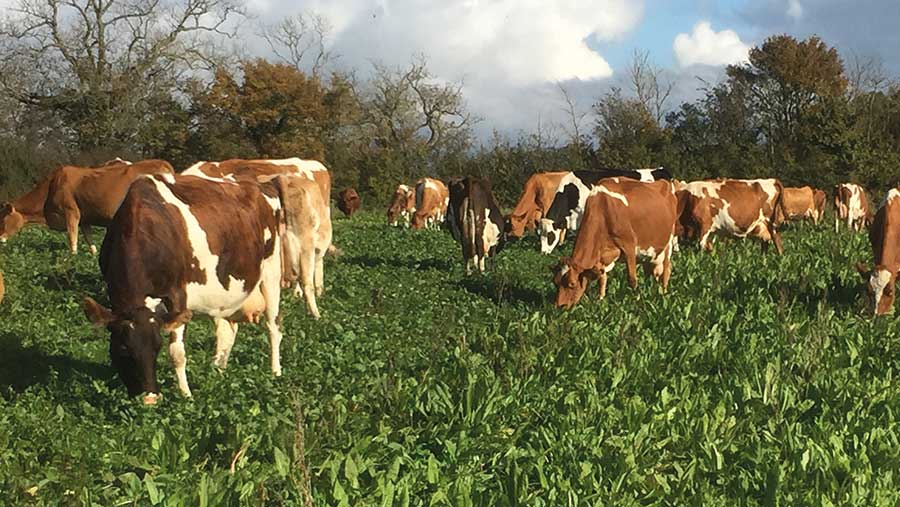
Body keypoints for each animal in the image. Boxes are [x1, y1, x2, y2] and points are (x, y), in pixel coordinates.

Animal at [552, 179, 680, 310]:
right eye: (555, 282)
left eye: (572, 284)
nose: (559, 306)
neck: (603, 211)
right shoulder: (601, 257)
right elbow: (602, 279)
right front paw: (601, 300)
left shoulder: (629, 246)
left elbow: (632, 279)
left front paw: (636, 301)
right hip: (650, 253)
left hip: (669, 242)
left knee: (666, 269)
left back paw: (663, 294)